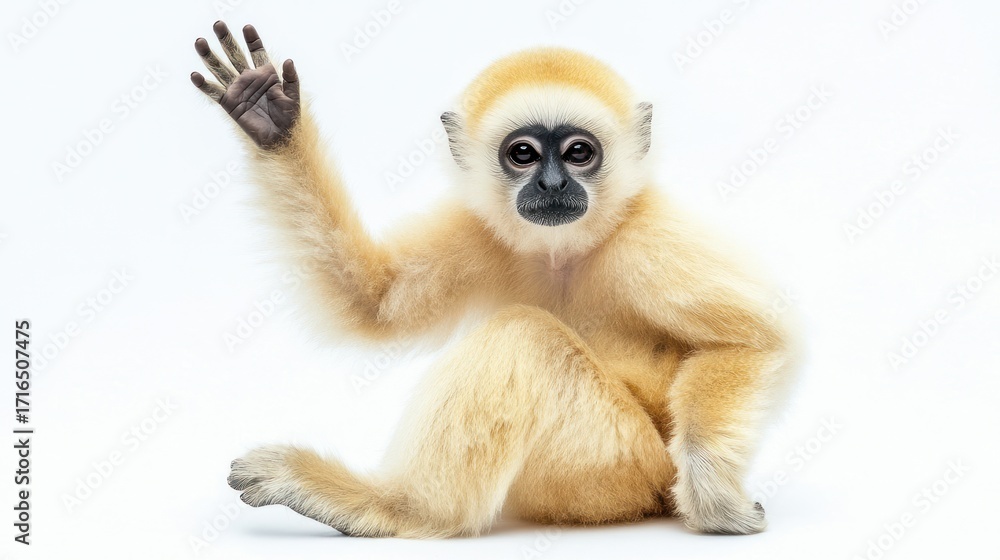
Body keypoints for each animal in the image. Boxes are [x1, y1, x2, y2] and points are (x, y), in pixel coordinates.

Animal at [190, 21, 796, 538]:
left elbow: (754, 339)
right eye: (522, 154)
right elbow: (375, 302)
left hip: (627, 463)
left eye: (579, 152)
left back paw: (396, 508)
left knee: (526, 338)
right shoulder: (478, 230)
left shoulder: (646, 242)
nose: (552, 184)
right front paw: (269, 116)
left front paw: (714, 500)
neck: (562, 252)